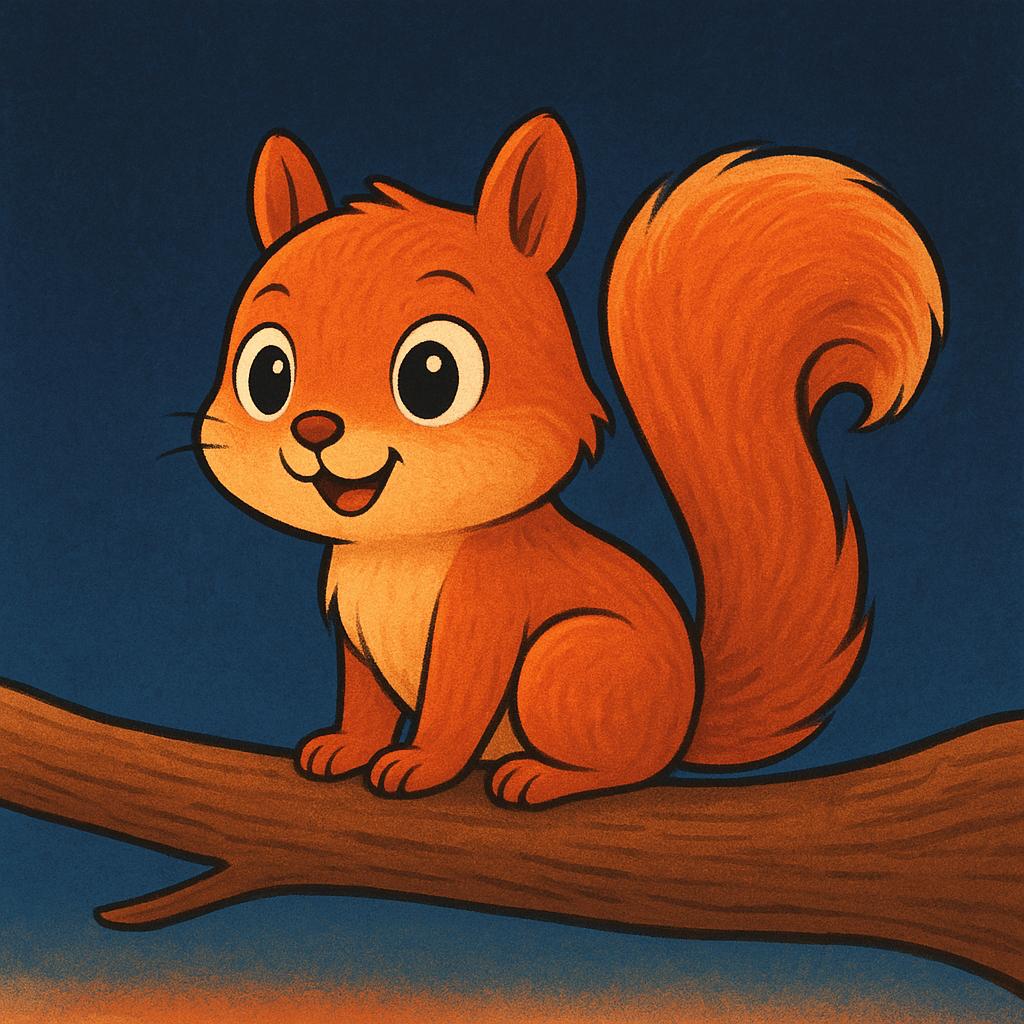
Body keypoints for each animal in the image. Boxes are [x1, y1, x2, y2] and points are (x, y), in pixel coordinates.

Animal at [196, 110, 944, 808]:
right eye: (267, 373)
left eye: (432, 374)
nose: (315, 428)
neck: (402, 548)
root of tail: (686, 716)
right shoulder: (354, 635)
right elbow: (365, 700)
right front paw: (345, 747)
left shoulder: (485, 616)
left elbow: (455, 707)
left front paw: (422, 764)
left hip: (568, 661)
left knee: (626, 767)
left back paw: (544, 776)